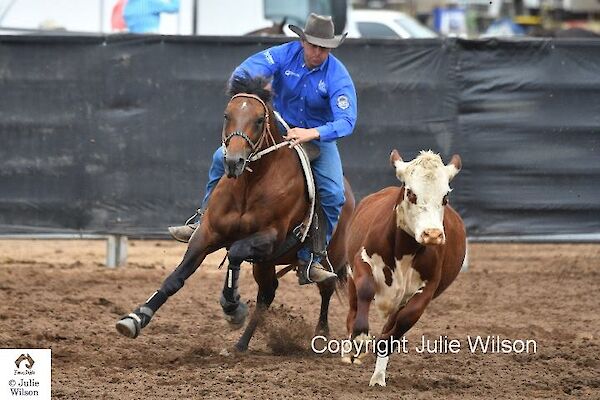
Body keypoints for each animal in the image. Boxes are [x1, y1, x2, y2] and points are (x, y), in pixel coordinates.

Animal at [115, 75, 354, 350]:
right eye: (227, 115)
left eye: (259, 119)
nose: (233, 161)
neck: (249, 185)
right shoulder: (208, 234)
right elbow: (176, 277)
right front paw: (135, 317)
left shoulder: (271, 238)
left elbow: (236, 252)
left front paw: (233, 308)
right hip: (265, 264)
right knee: (267, 294)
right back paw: (241, 344)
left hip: (329, 257)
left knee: (326, 287)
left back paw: (321, 335)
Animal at [344, 148, 466, 386]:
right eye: (411, 193)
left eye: (445, 197)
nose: (433, 235)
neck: (404, 251)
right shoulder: (362, 260)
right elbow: (366, 289)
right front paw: (361, 338)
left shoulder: (429, 286)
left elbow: (406, 319)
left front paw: (381, 349)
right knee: (353, 307)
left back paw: (378, 376)